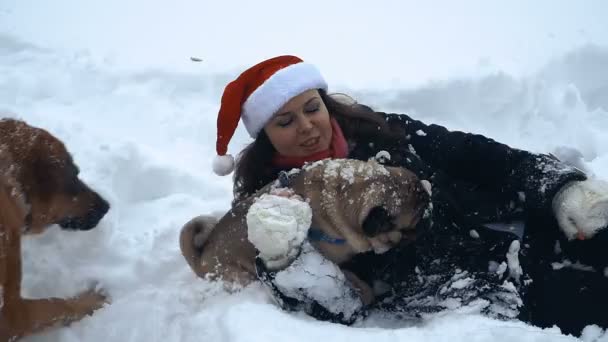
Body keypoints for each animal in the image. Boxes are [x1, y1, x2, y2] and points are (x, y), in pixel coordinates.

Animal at [178, 159, 430, 300]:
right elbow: (359, 285)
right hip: (241, 276)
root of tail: (200, 259)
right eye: (414, 222)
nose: (430, 211)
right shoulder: (335, 262)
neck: (349, 191)